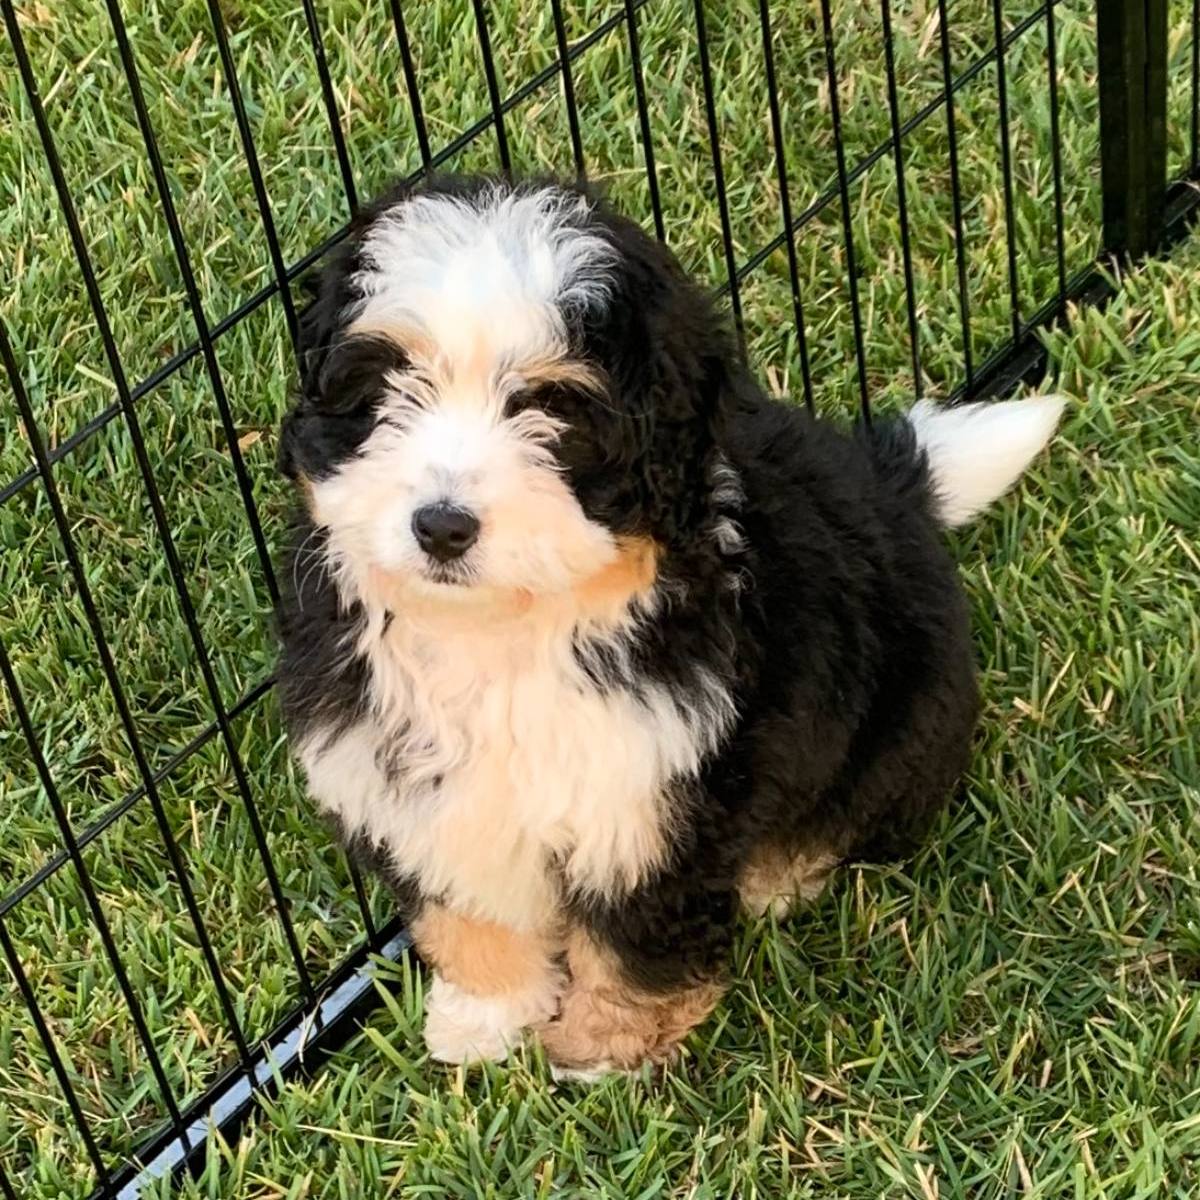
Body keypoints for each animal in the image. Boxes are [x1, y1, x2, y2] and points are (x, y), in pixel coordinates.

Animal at [276, 175, 1065, 1080]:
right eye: (385, 389)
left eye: (554, 409)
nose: (441, 526)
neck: (506, 628)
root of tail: (898, 487)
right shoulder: (411, 786)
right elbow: (468, 905)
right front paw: (485, 1015)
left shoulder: (655, 794)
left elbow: (631, 937)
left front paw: (602, 1050)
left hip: (906, 713)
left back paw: (780, 872)